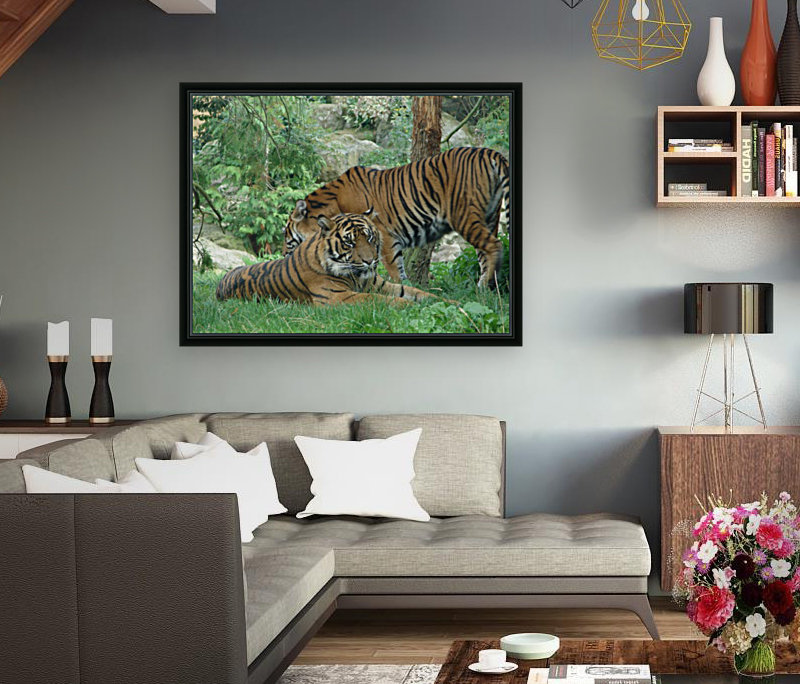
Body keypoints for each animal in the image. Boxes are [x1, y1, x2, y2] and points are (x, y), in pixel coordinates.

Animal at [216, 210, 439, 306]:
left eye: (369, 237)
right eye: (349, 243)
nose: (369, 261)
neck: (357, 276)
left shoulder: (380, 285)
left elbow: (415, 292)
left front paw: (442, 302)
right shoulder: (338, 297)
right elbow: (379, 300)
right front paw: (412, 307)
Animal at [283, 147, 509, 288]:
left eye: (286, 236)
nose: (284, 254)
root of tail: (490, 152)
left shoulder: (383, 237)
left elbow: (391, 268)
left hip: (464, 216)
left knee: (494, 246)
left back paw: (485, 286)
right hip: (490, 216)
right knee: (485, 253)